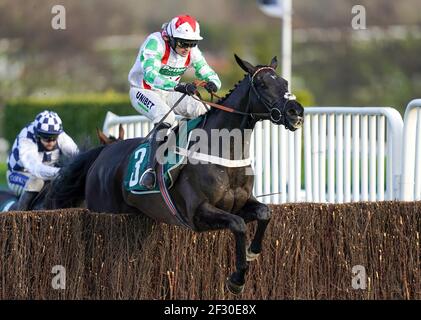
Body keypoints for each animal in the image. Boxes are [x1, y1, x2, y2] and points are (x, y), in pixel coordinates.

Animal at [47, 55, 304, 296]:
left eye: (284, 82)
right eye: (262, 84)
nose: (296, 112)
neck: (223, 151)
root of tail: (102, 154)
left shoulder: (241, 204)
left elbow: (265, 213)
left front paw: (252, 252)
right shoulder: (197, 213)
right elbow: (239, 225)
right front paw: (237, 280)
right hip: (104, 211)